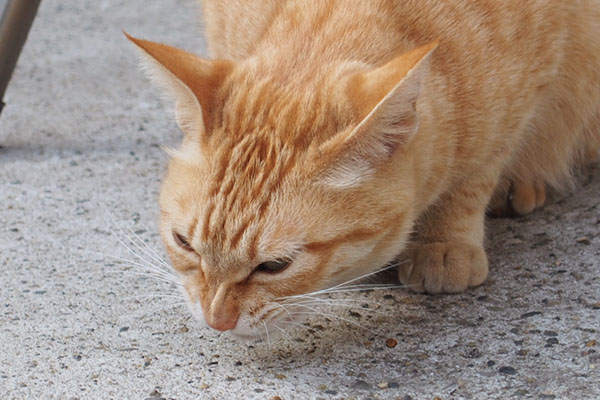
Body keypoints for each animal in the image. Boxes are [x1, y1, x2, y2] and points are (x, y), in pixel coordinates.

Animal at [126, 0, 600, 338]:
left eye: (275, 266)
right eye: (184, 243)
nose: (216, 321)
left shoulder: (527, 85)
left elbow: (473, 176)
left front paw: (445, 240)